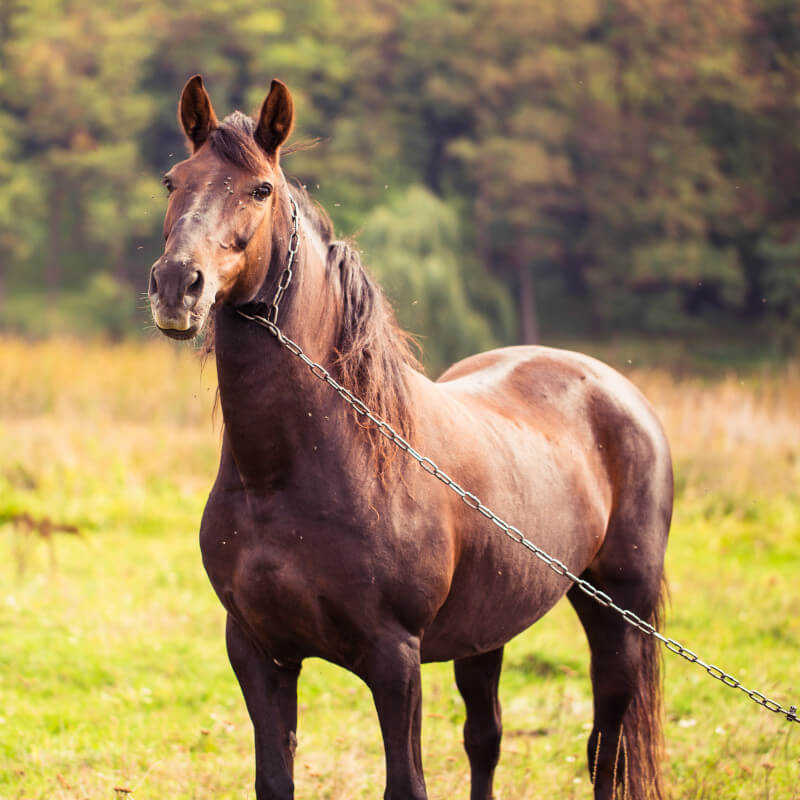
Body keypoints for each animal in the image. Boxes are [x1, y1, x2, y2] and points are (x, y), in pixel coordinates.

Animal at [147, 75, 672, 800]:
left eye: (260, 189)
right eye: (174, 181)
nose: (177, 286)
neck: (292, 475)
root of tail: (615, 389)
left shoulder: (394, 660)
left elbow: (407, 782)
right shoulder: (258, 651)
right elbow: (275, 779)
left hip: (620, 613)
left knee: (607, 748)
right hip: (488, 631)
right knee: (487, 739)